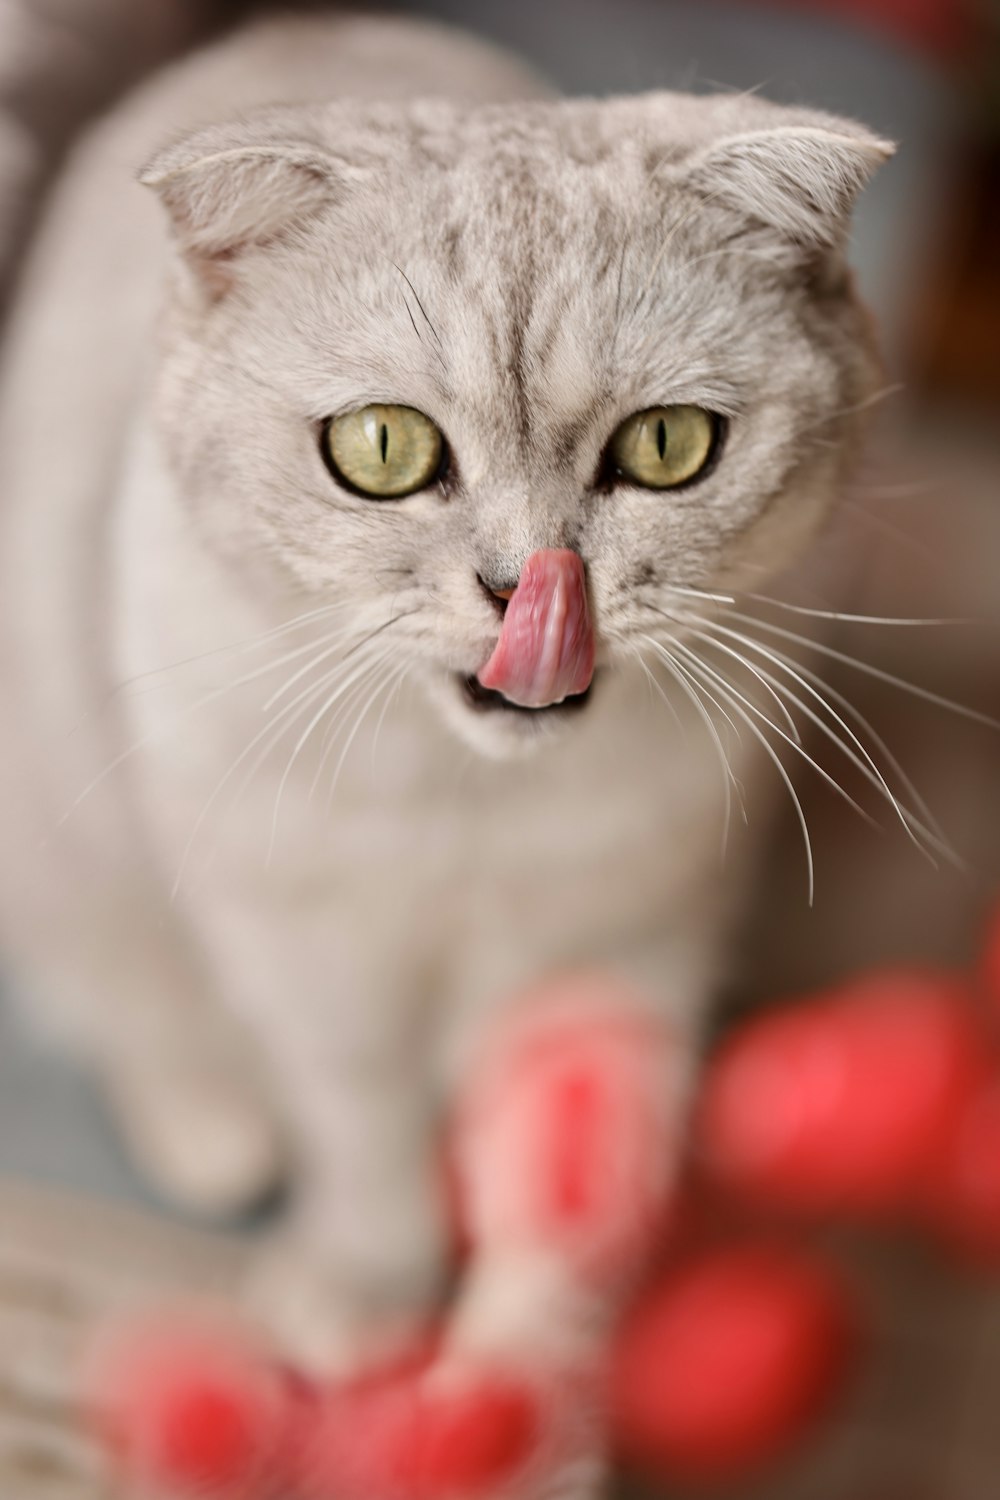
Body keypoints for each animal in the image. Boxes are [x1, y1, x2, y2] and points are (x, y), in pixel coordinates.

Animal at [0, 0, 893, 1446]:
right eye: (380, 448)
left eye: (668, 447)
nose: (528, 588)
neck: (476, 816)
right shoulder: (315, 957)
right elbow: (362, 1130)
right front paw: (367, 1292)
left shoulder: (626, 945)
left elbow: (567, 1187)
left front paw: (522, 1388)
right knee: (124, 1000)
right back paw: (212, 1126)